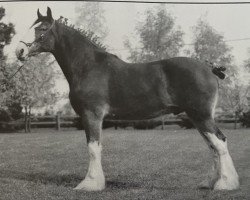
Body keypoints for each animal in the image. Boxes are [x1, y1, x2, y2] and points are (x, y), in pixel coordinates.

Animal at [14, 7, 239, 192]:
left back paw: (225, 184)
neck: (88, 66)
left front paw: (90, 184)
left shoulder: (91, 115)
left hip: (201, 115)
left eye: (42, 28)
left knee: (219, 143)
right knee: (213, 146)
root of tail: (209, 67)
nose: (20, 51)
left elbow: (93, 148)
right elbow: (96, 147)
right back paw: (211, 183)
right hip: (197, 117)